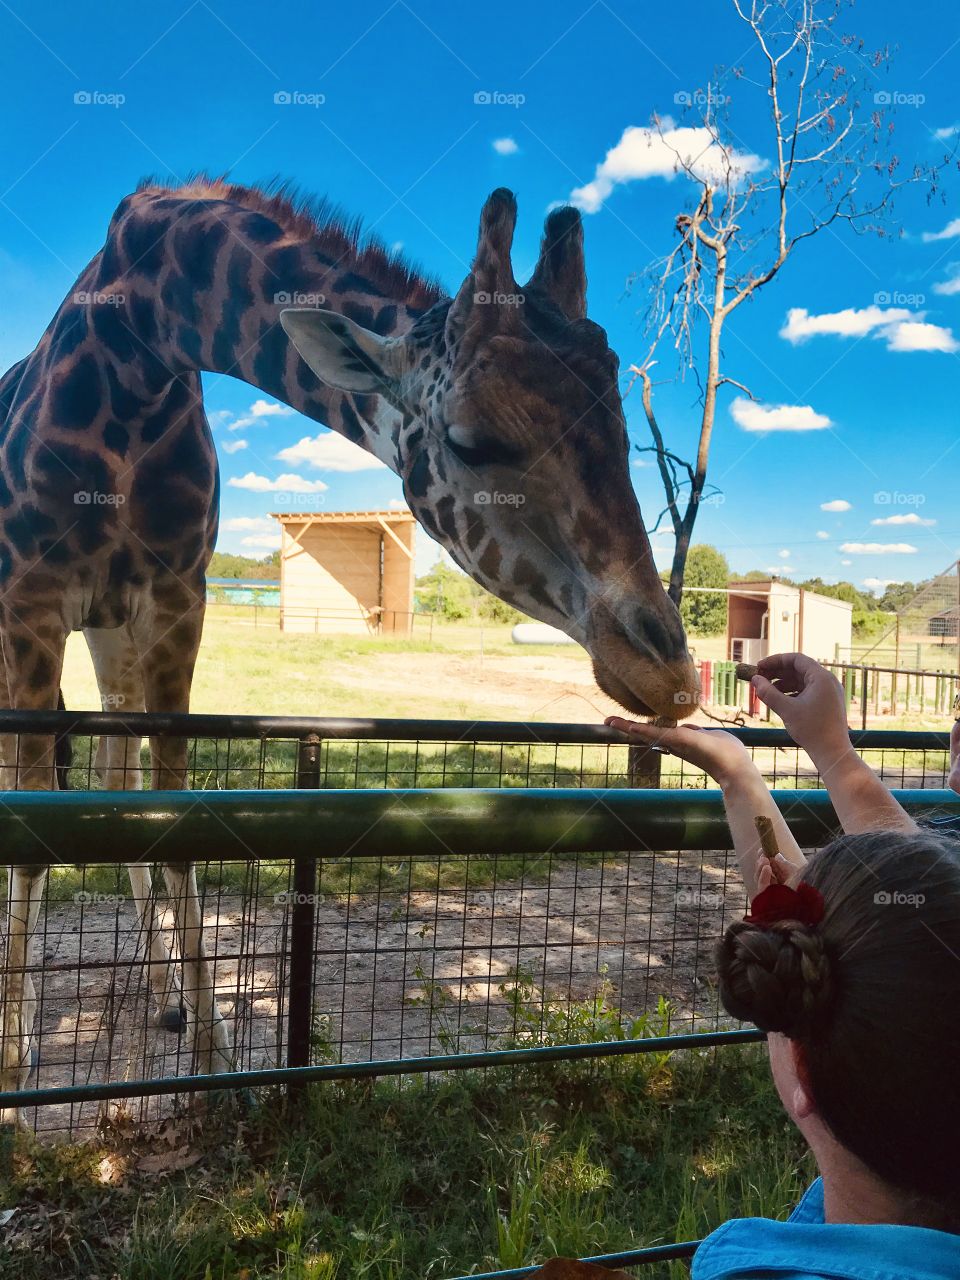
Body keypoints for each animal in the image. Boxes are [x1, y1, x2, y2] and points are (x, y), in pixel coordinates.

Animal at [0, 177, 700, 1111]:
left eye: (625, 431)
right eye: (473, 440)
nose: (668, 671)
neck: (140, 347)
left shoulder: (177, 598)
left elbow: (167, 812)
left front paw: (215, 1058)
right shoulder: (32, 597)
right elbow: (32, 831)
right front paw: (12, 1070)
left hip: (110, 630)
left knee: (112, 781)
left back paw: (156, 995)